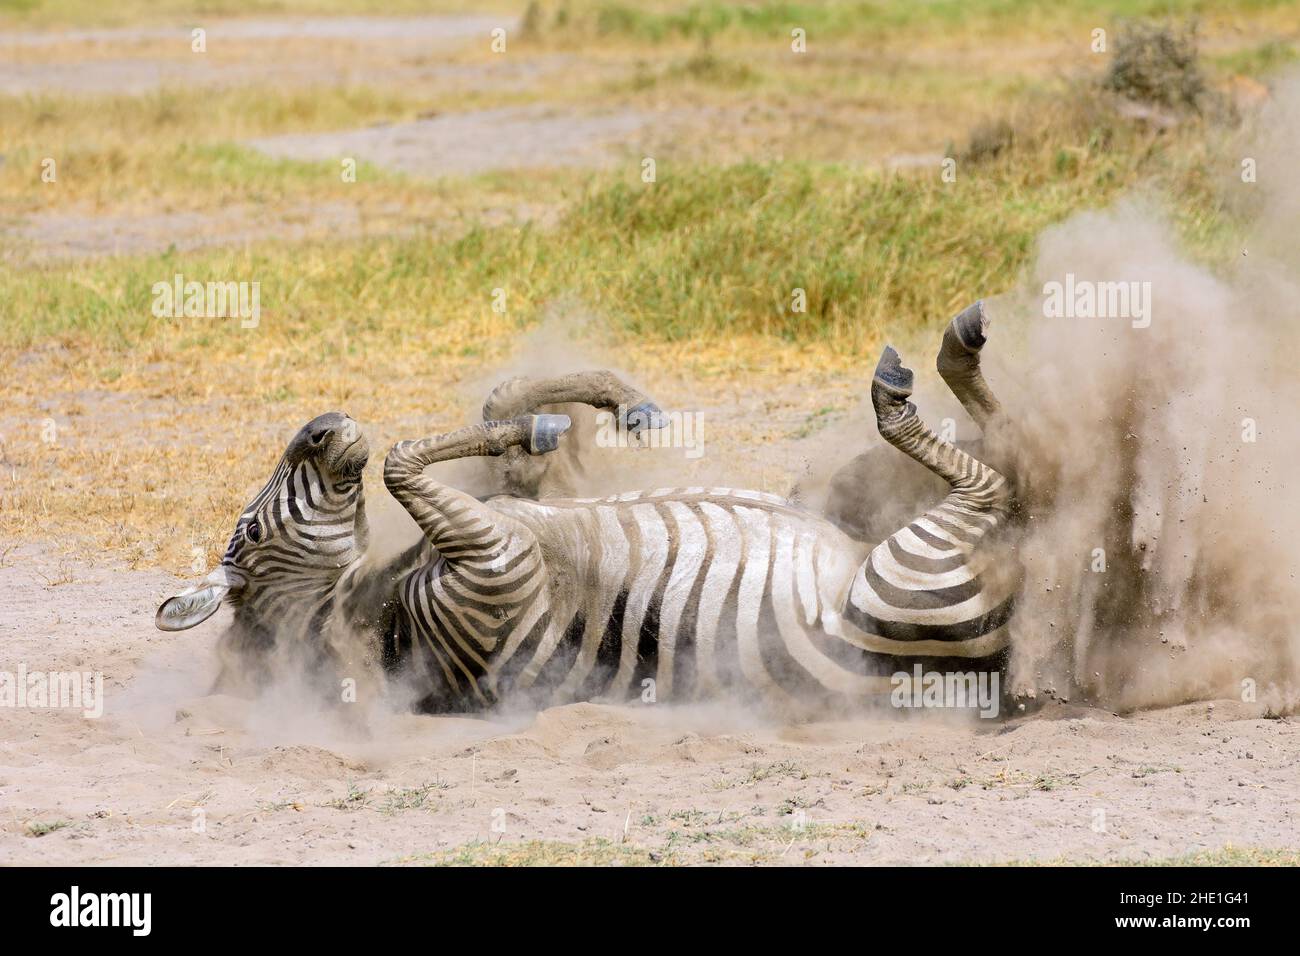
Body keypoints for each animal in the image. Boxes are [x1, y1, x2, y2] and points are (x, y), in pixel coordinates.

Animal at [157, 306, 1019, 712]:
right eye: (248, 529)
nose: (322, 425)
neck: (384, 607)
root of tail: (991, 666)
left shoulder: (525, 505)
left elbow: (497, 402)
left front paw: (613, 402)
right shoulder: (496, 556)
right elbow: (402, 457)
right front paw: (555, 420)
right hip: (896, 580)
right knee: (991, 483)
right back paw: (921, 376)